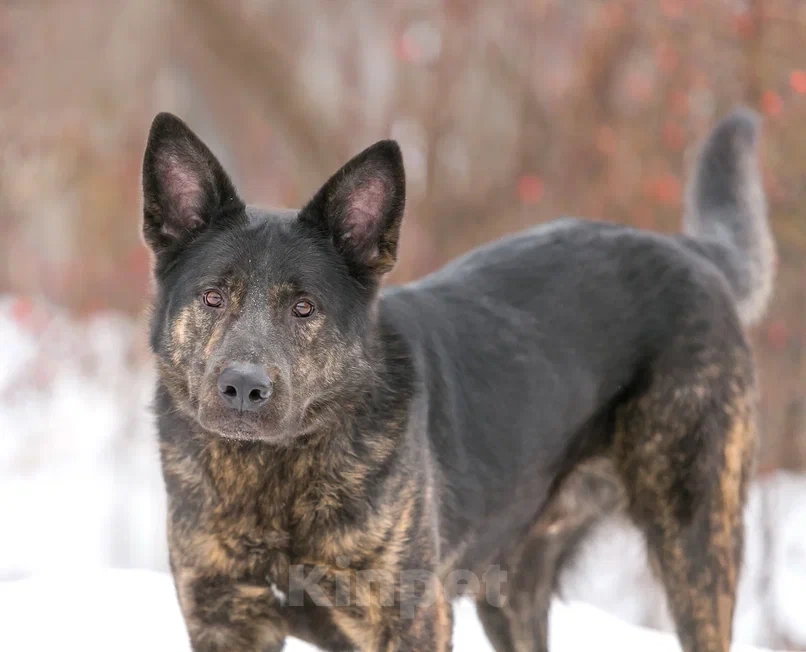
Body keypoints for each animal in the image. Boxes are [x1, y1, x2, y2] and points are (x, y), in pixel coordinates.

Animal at [144, 104, 776, 648]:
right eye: (213, 297)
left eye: (304, 308)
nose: (243, 388)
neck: (269, 479)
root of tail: (690, 250)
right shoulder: (225, 623)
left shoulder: (413, 622)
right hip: (514, 591)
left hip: (697, 546)